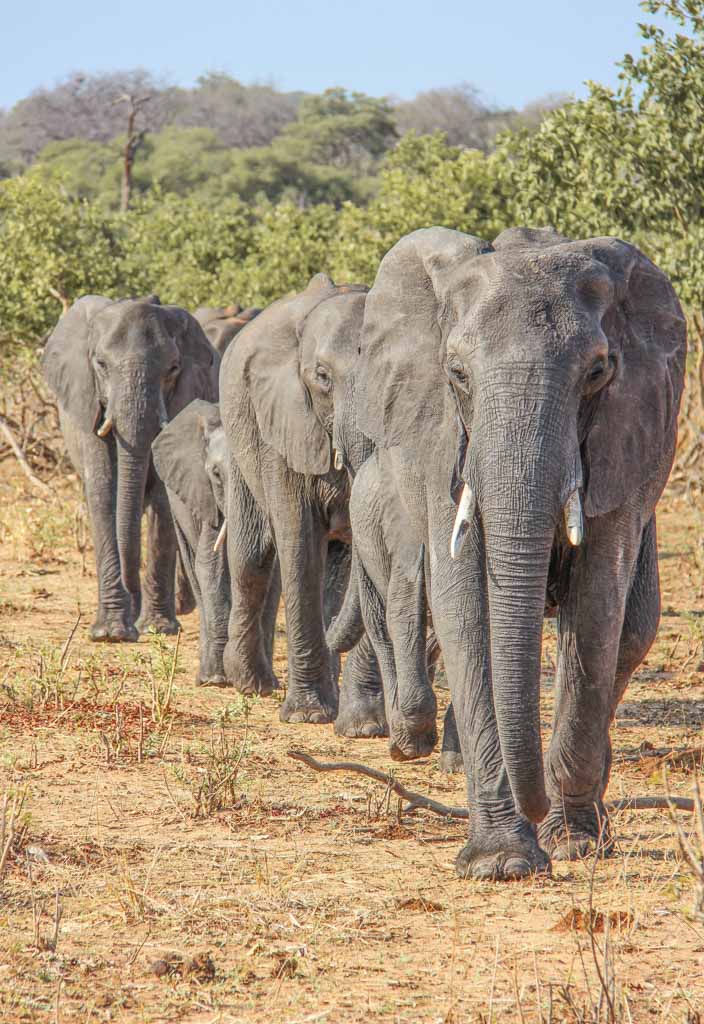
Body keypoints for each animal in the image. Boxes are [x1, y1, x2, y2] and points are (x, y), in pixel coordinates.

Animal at [42, 295, 219, 641]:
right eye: (100, 364)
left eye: (173, 368)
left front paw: (156, 628)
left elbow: (163, 499)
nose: (131, 622)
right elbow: (103, 490)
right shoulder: (88, 402)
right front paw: (110, 634)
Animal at [219, 273, 385, 732]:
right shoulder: (283, 423)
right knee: (252, 559)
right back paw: (249, 682)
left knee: (336, 570)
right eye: (322, 377)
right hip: (241, 440)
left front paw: (364, 726)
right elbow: (299, 544)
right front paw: (307, 716)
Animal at [349, 226, 685, 880]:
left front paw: (570, 843)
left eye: (598, 372)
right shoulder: (441, 444)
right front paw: (501, 862)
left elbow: (597, 610)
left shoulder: (623, 444)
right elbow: (464, 608)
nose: (536, 808)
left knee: (632, 635)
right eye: (456, 373)